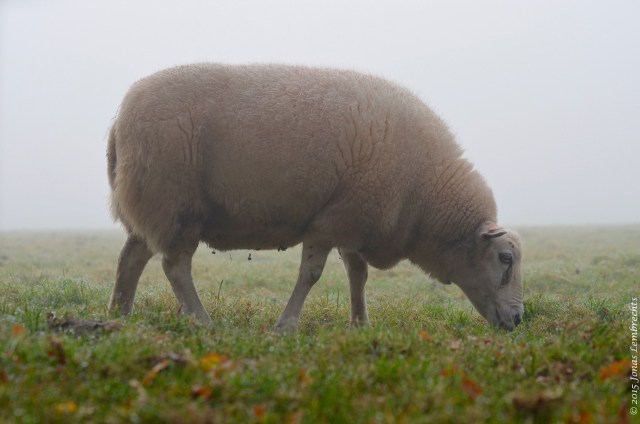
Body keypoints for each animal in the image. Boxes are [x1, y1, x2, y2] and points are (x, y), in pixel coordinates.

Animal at [107, 63, 524, 331]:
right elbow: (311, 275)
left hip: (154, 204)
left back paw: (118, 314)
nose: (519, 320)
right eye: (505, 259)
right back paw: (201, 321)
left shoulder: (355, 219)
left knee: (132, 257)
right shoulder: (330, 222)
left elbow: (358, 275)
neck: (426, 195)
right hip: (174, 202)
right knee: (175, 266)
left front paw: (360, 323)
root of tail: (120, 119)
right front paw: (287, 325)